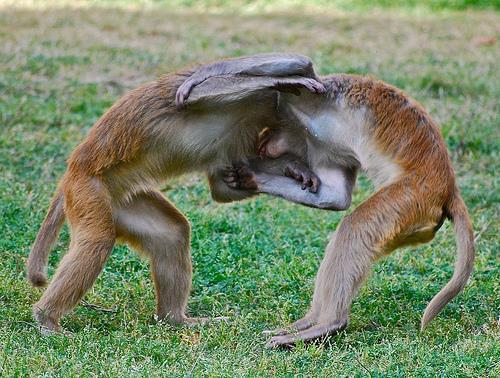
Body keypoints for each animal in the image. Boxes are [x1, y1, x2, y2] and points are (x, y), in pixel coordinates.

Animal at [26, 53, 352, 334]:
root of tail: (74, 167)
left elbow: (224, 188)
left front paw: (292, 169)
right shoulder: (249, 101)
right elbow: (200, 91)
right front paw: (287, 80)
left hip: (118, 197)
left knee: (171, 233)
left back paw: (175, 320)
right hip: (88, 190)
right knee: (97, 241)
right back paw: (46, 318)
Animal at [178, 63, 474, 346]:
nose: (264, 146)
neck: (303, 125)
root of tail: (447, 188)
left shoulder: (313, 99)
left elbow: (299, 73)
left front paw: (199, 78)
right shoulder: (325, 148)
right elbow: (335, 197)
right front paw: (258, 176)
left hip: (411, 197)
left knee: (356, 227)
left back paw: (328, 323)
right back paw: (308, 322)